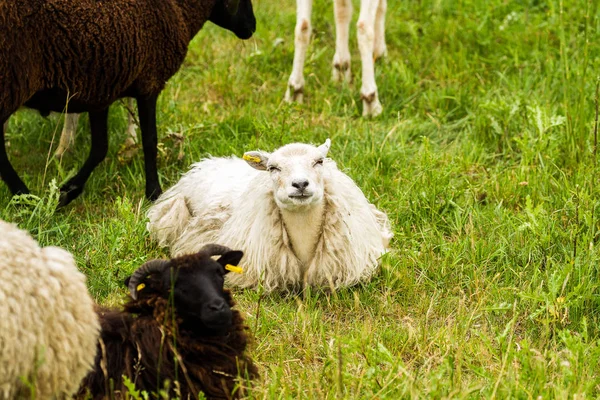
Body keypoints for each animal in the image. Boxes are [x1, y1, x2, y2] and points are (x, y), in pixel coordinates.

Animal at [0, 0, 255, 206]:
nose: (252, 27)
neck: (178, 9)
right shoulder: (147, 82)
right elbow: (149, 140)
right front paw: (154, 192)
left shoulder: (102, 89)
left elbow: (100, 147)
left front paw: (68, 190)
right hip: (11, 82)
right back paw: (23, 196)